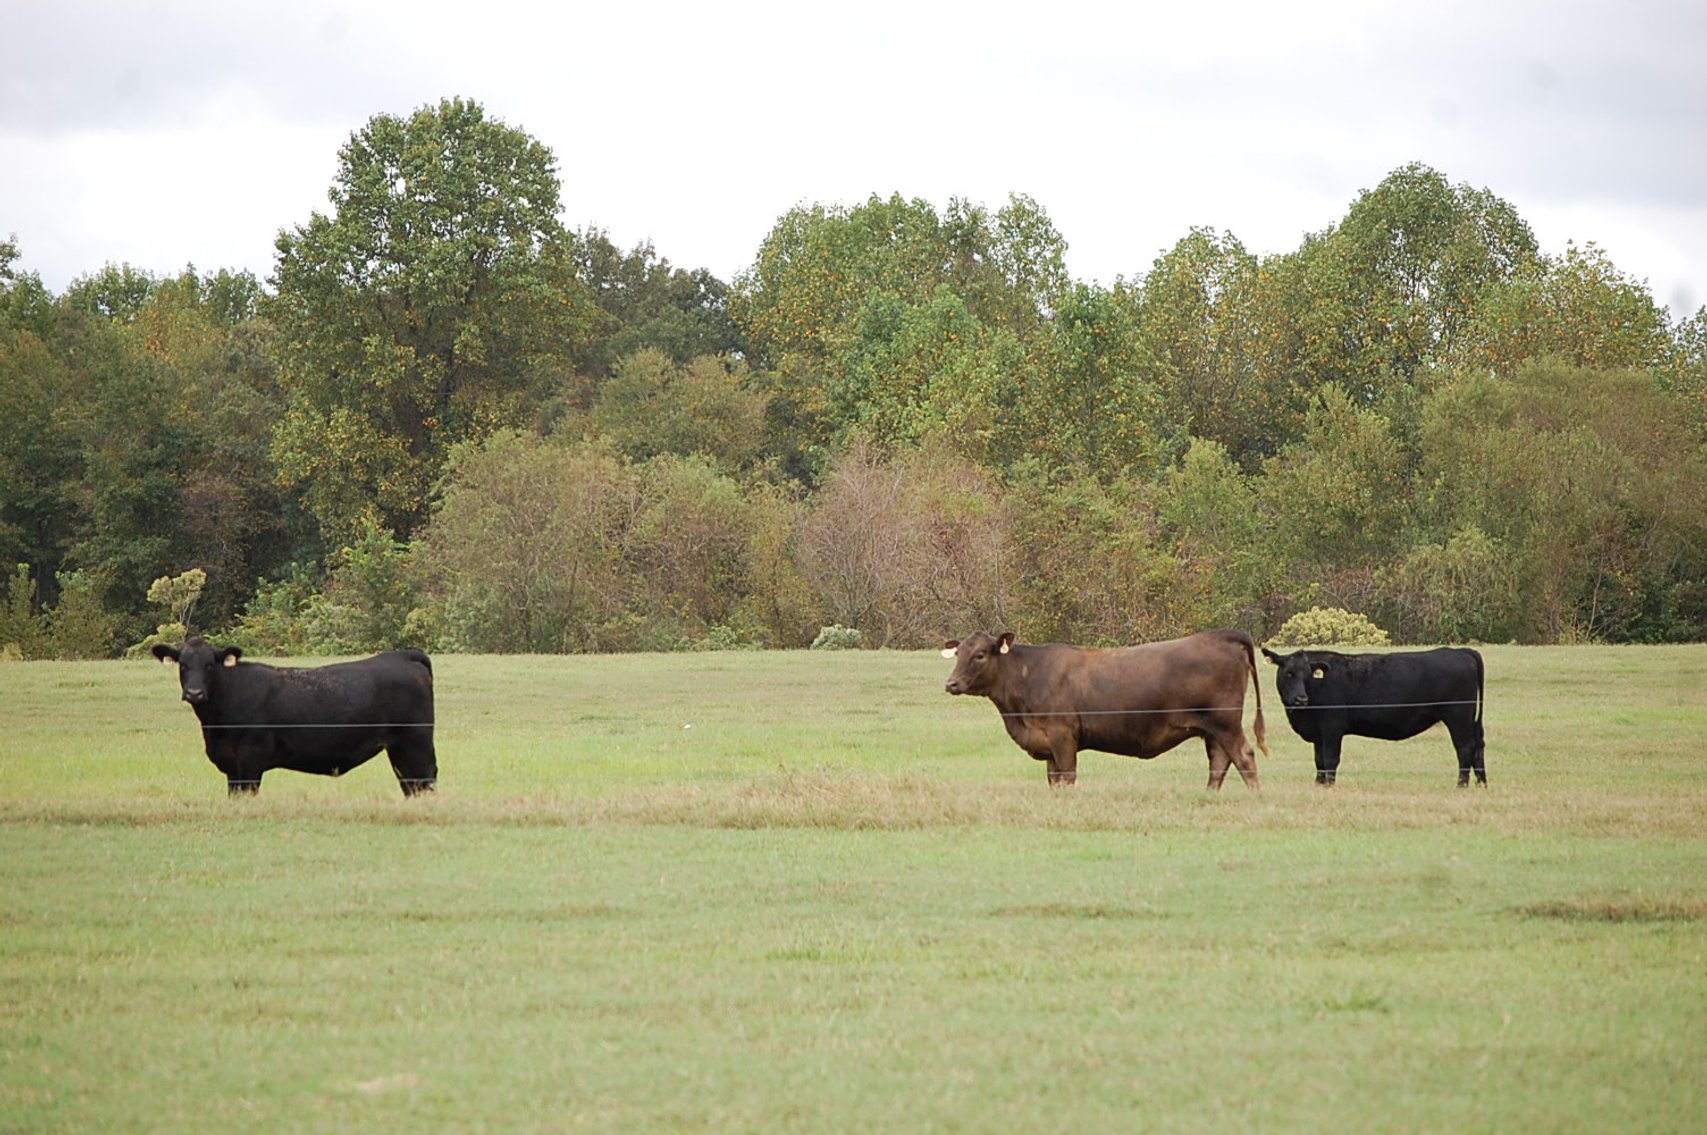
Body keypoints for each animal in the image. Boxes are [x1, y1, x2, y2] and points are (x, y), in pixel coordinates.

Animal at [152, 636, 437, 796]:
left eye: (210, 664)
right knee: (411, 783)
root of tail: (403, 655)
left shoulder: (250, 760)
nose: (195, 693)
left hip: (415, 741)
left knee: (425, 777)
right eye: (183, 665)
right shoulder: (231, 766)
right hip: (399, 748)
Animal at [941, 629, 1268, 789]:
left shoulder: (1062, 735)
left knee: (1243, 757)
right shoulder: (1048, 744)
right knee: (1219, 763)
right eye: (958, 653)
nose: (951, 683)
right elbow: (1053, 780)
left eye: (980, 655)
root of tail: (1221, 635)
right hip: (1212, 729)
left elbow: (1067, 775)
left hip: (1225, 722)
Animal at [1260, 646, 1485, 786]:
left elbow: (1330, 759)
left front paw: (1329, 786)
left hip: (1458, 717)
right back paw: (1481, 783)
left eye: (1307, 676)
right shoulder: (1319, 733)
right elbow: (1319, 761)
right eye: (1288, 673)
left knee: (1465, 748)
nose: (1301, 699)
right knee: (1478, 747)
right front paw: (1318, 785)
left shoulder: (1332, 727)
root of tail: (1461, 651)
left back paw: (1461, 785)